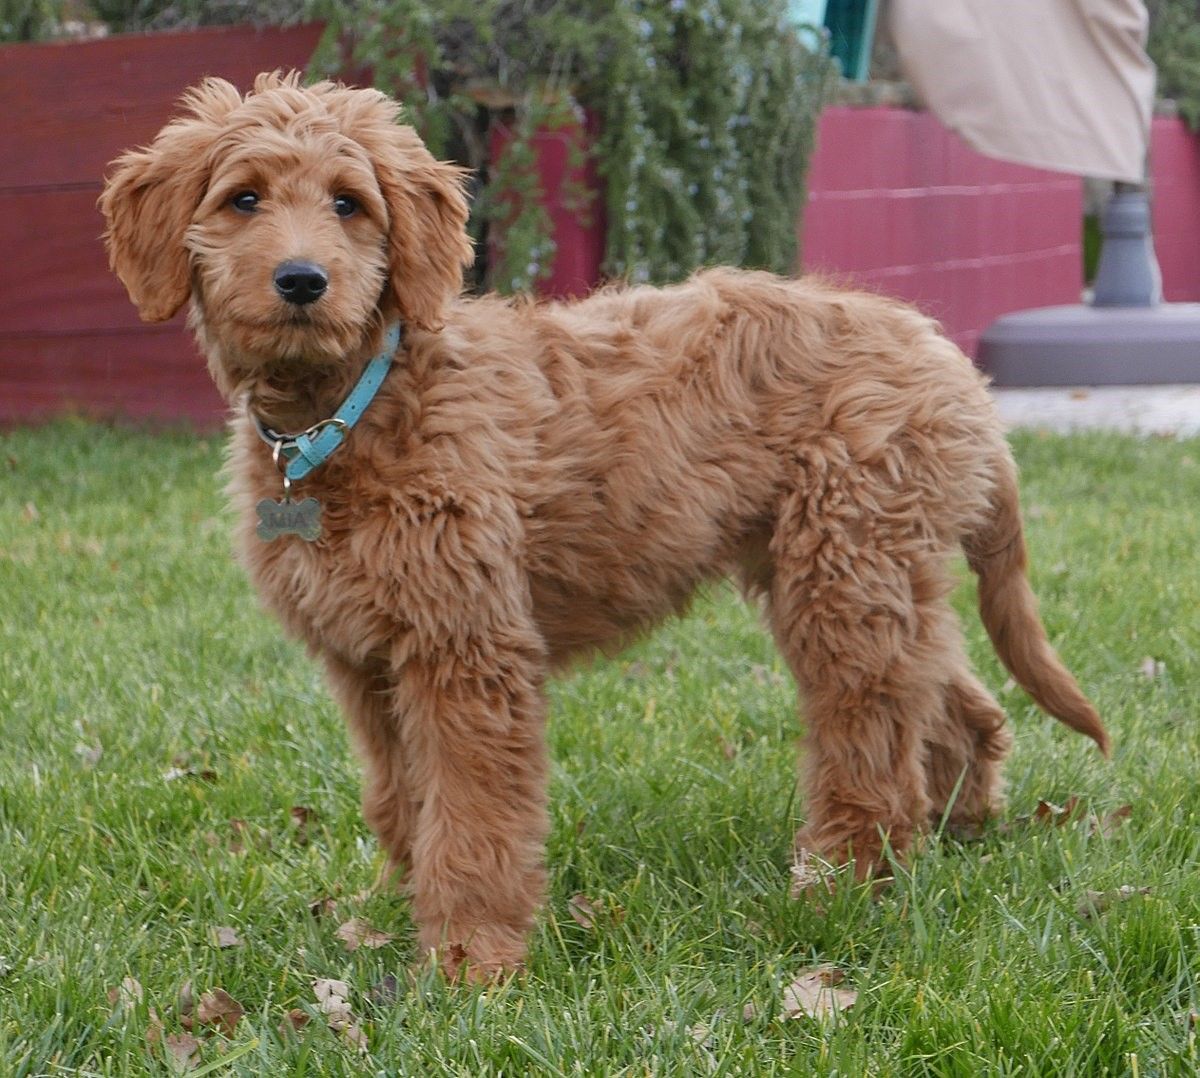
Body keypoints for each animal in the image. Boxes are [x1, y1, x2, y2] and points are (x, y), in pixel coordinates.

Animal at [100, 71, 1104, 979]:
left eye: (349, 203)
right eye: (243, 198)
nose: (302, 280)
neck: (354, 406)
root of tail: (947, 360)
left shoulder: (468, 650)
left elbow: (471, 819)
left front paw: (472, 960)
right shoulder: (369, 665)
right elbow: (401, 803)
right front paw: (390, 914)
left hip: (844, 575)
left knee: (872, 740)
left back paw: (841, 882)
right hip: (869, 572)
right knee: (951, 701)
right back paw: (953, 831)